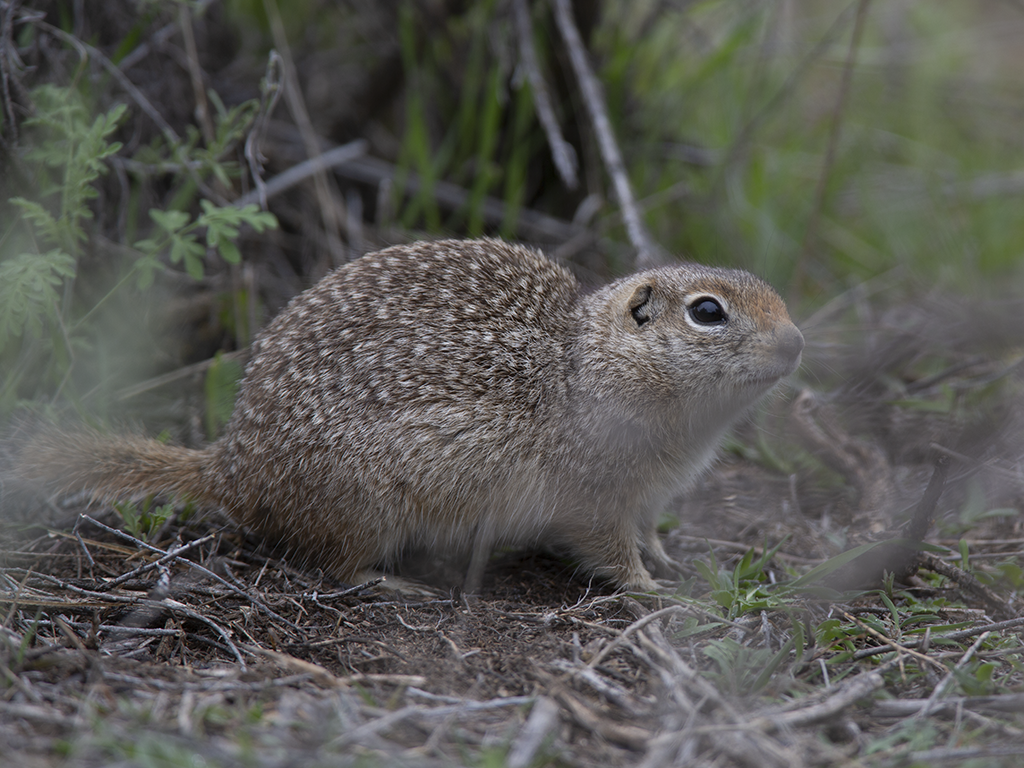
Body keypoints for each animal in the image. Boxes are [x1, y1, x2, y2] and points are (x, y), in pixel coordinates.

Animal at [12, 240, 802, 593]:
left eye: (773, 292)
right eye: (708, 312)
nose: (797, 343)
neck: (589, 362)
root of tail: (230, 468)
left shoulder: (646, 492)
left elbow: (648, 528)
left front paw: (669, 559)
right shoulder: (596, 490)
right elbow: (608, 547)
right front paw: (646, 587)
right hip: (366, 505)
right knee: (331, 565)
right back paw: (395, 580)